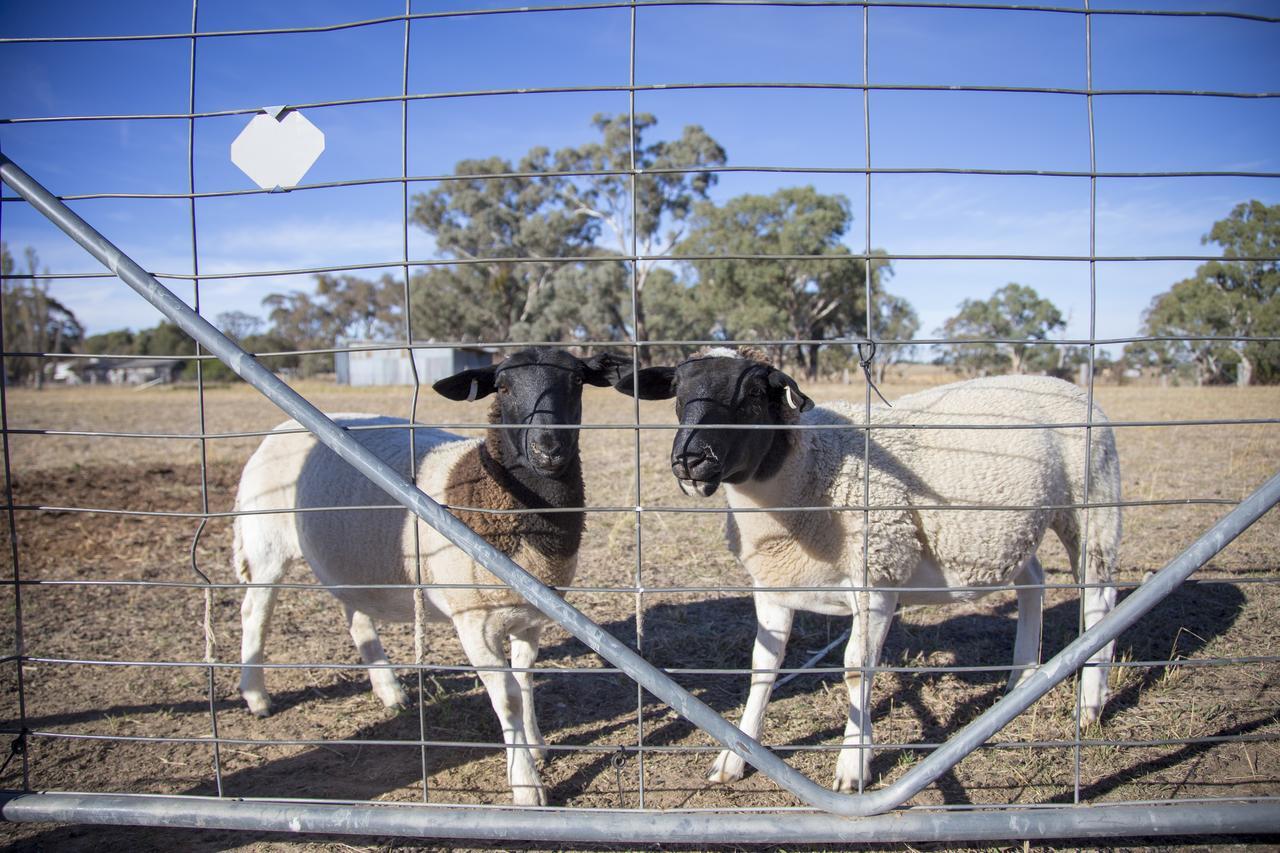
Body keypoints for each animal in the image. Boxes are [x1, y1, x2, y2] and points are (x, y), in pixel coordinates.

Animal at [234, 345, 629, 804]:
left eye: (577, 381)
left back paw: (389, 692)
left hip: (351, 556)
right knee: (255, 615)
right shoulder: (474, 623)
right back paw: (257, 697)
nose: (548, 449)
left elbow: (525, 680)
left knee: (356, 615)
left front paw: (536, 747)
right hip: (266, 544)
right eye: (503, 387)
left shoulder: (532, 616)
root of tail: (277, 429)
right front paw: (527, 786)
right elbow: (508, 699)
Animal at [619, 345, 1121, 788]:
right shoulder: (772, 586)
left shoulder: (877, 578)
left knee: (1099, 598)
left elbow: (857, 670)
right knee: (1033, 582)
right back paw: (1022, 679)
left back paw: (1089, 707)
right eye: (679, 392)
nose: (690, 459)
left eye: (752, 395)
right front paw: (735, 757)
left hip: (1092, 502)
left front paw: (852, 768)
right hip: (1014, 528)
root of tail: (1066, 384)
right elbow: (763, 665)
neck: (809, 471)